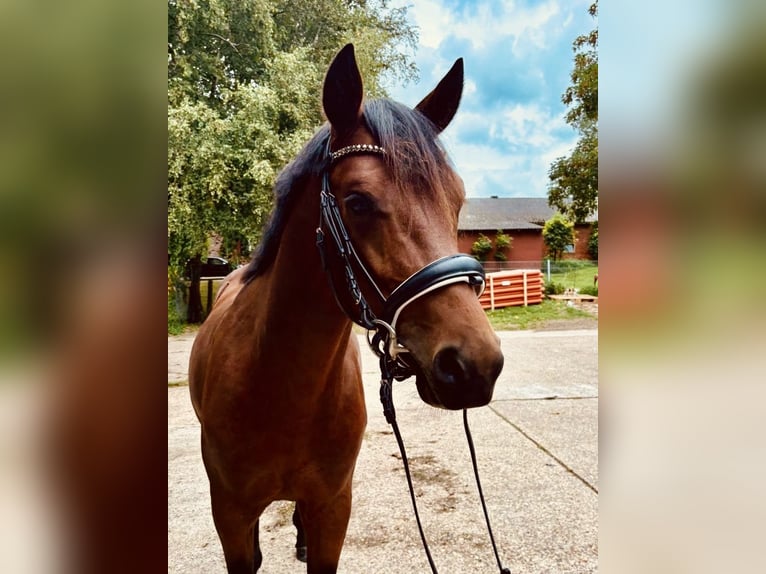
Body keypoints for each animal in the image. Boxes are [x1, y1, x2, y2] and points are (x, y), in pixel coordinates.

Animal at [189, 46, 508, 574]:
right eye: (357, 202)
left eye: (457, 201)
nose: (475, 366)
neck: (280, 386)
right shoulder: (229, 514)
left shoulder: (333, 509)